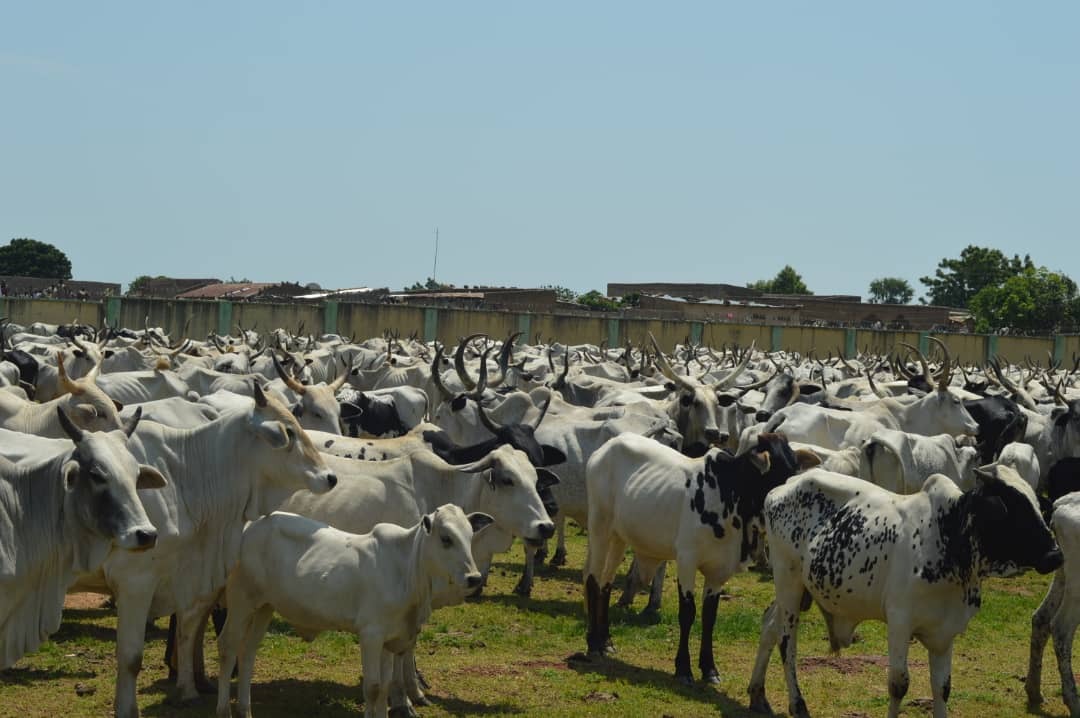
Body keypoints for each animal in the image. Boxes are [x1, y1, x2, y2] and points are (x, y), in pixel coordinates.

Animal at [587, 431, 812, 682]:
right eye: (780, 471)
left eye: (794, 469)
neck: (730, 492)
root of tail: (606, 447)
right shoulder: (687, 559)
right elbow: (688, 612)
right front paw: (684, 669)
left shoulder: (719, 570)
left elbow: (709, 616)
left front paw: (709, 669)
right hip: (599, 528)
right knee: (593, 581)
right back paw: (593, 644)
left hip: (618, 538)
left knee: (606, 584)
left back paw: (606, 641)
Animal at [751, 464, 1062, 716]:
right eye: (1012, 507)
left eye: (1037, 504)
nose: (1055, 555)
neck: (947, 535)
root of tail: (787, 483)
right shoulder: (900, 621)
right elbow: (898, 685)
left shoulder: (944, 632)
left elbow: (942, 687)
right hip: (788, 582)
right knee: (786, 643)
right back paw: (797, 704)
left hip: (798, 591)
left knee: (768, 625)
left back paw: (757, 694)